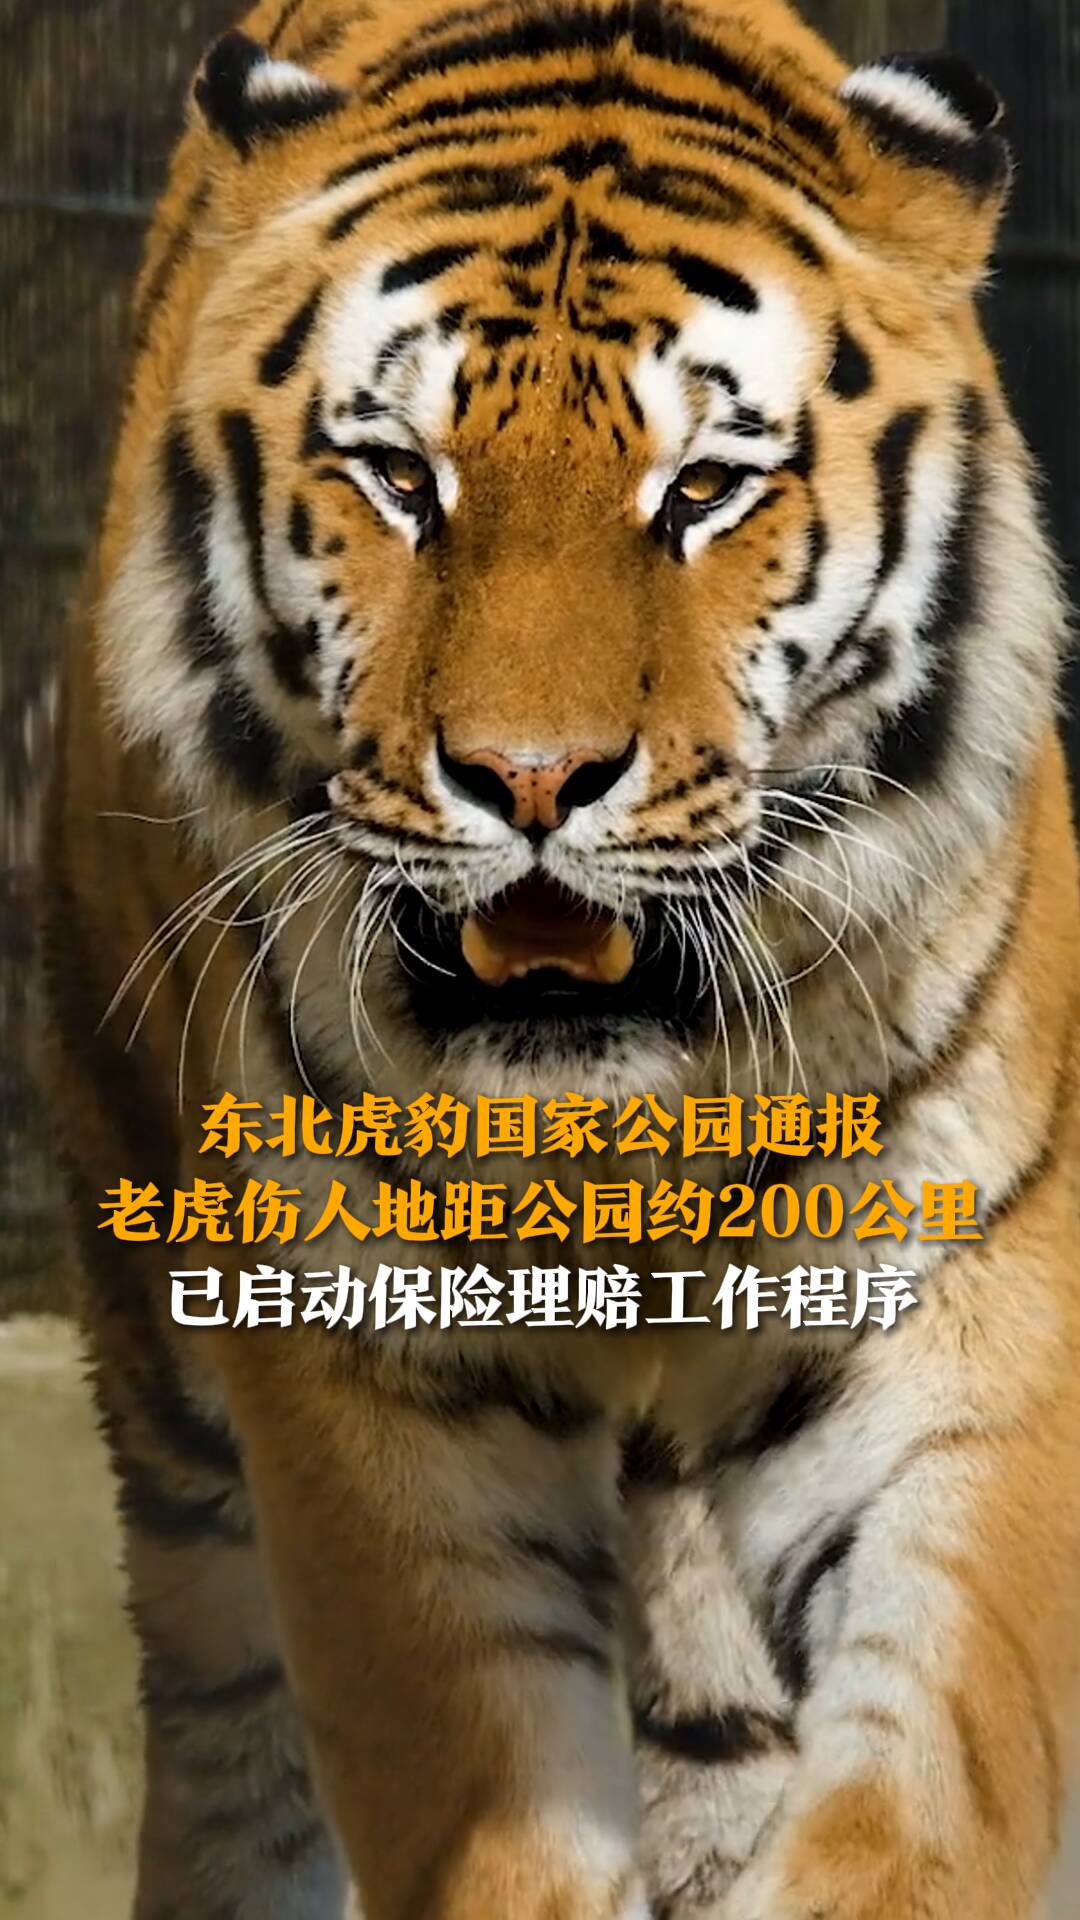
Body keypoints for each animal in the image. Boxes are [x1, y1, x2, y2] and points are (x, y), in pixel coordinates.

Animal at [40, 0, 1080, 1915]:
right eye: (399, 478)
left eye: (706, 491)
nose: (529, 780)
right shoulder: (377, 1373)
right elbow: (481, 1789)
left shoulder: (951, 1325)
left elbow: (929, 1773)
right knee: (222, 1724)